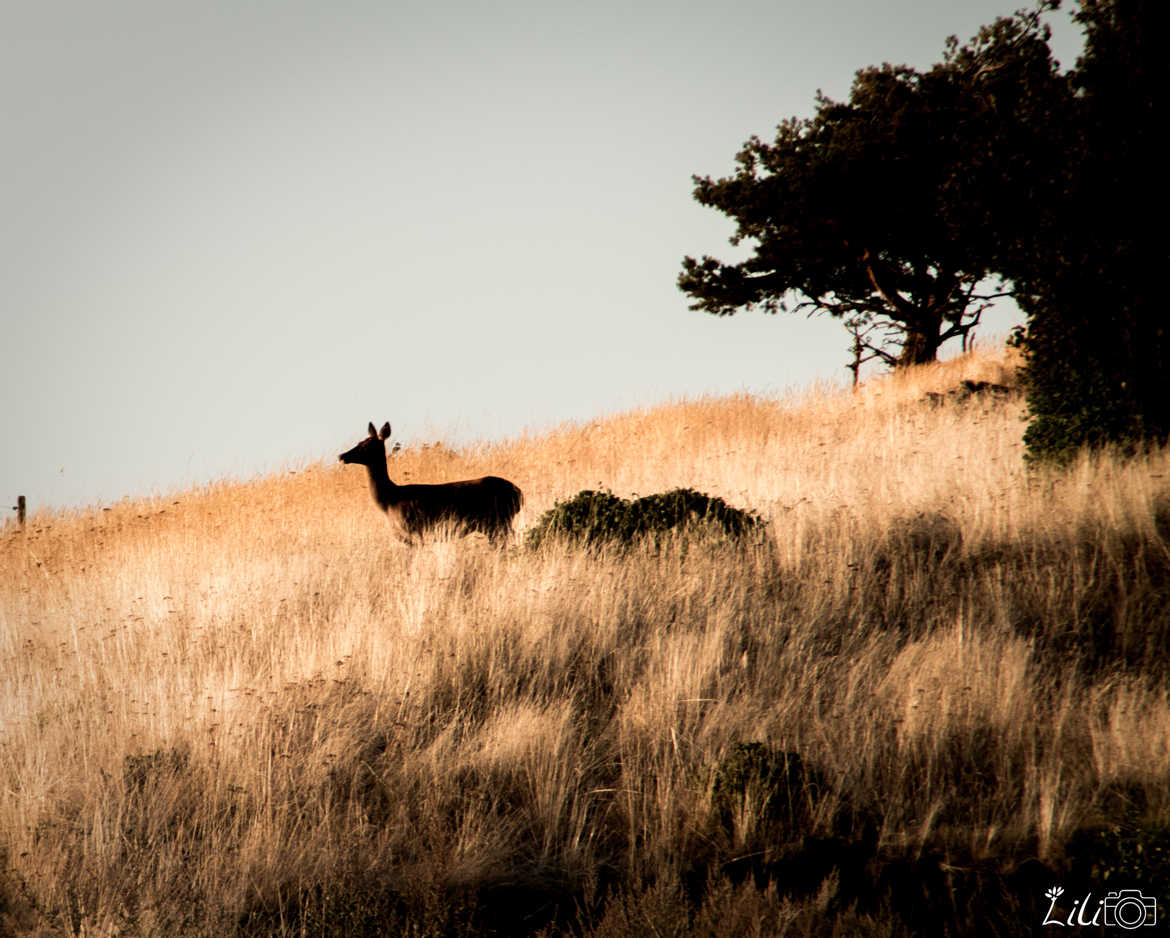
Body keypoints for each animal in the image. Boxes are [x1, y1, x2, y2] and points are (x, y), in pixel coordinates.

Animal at [339, 421, 521, 545]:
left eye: (366, 445)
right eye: (359, 442)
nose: (342, 455)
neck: (389, 500)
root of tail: (519, 494)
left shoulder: (413, 532)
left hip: (498, 521)